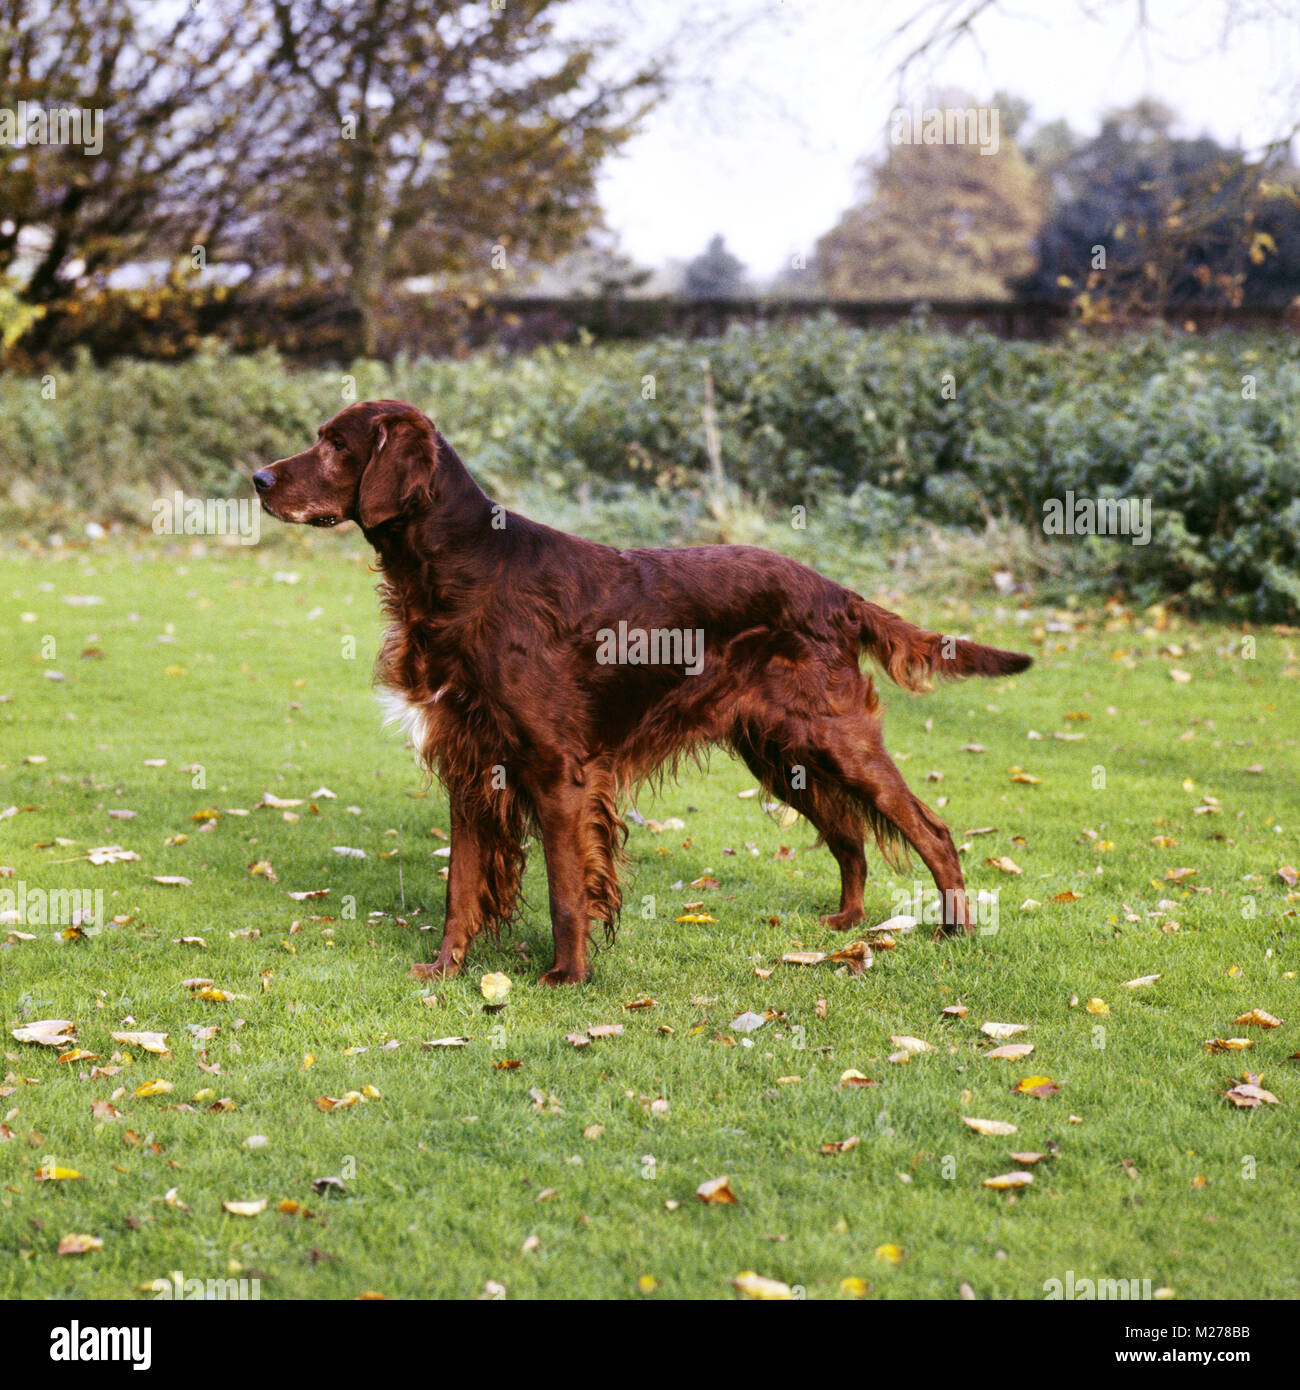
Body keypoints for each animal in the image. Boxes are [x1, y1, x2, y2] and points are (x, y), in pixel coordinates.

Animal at [251, 403, 1028, 984]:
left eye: (335, 445)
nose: (257, 478)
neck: (463, 568)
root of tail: (834, 591)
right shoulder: (472, 765)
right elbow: (460, 888)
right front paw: (444, 970)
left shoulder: (558, 772)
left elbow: (567, 891)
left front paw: (565, 978)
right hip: (781, 750)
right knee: (850, 833)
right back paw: (845, 922)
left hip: (834, 736)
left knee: (929, 828)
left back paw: (954, 930)